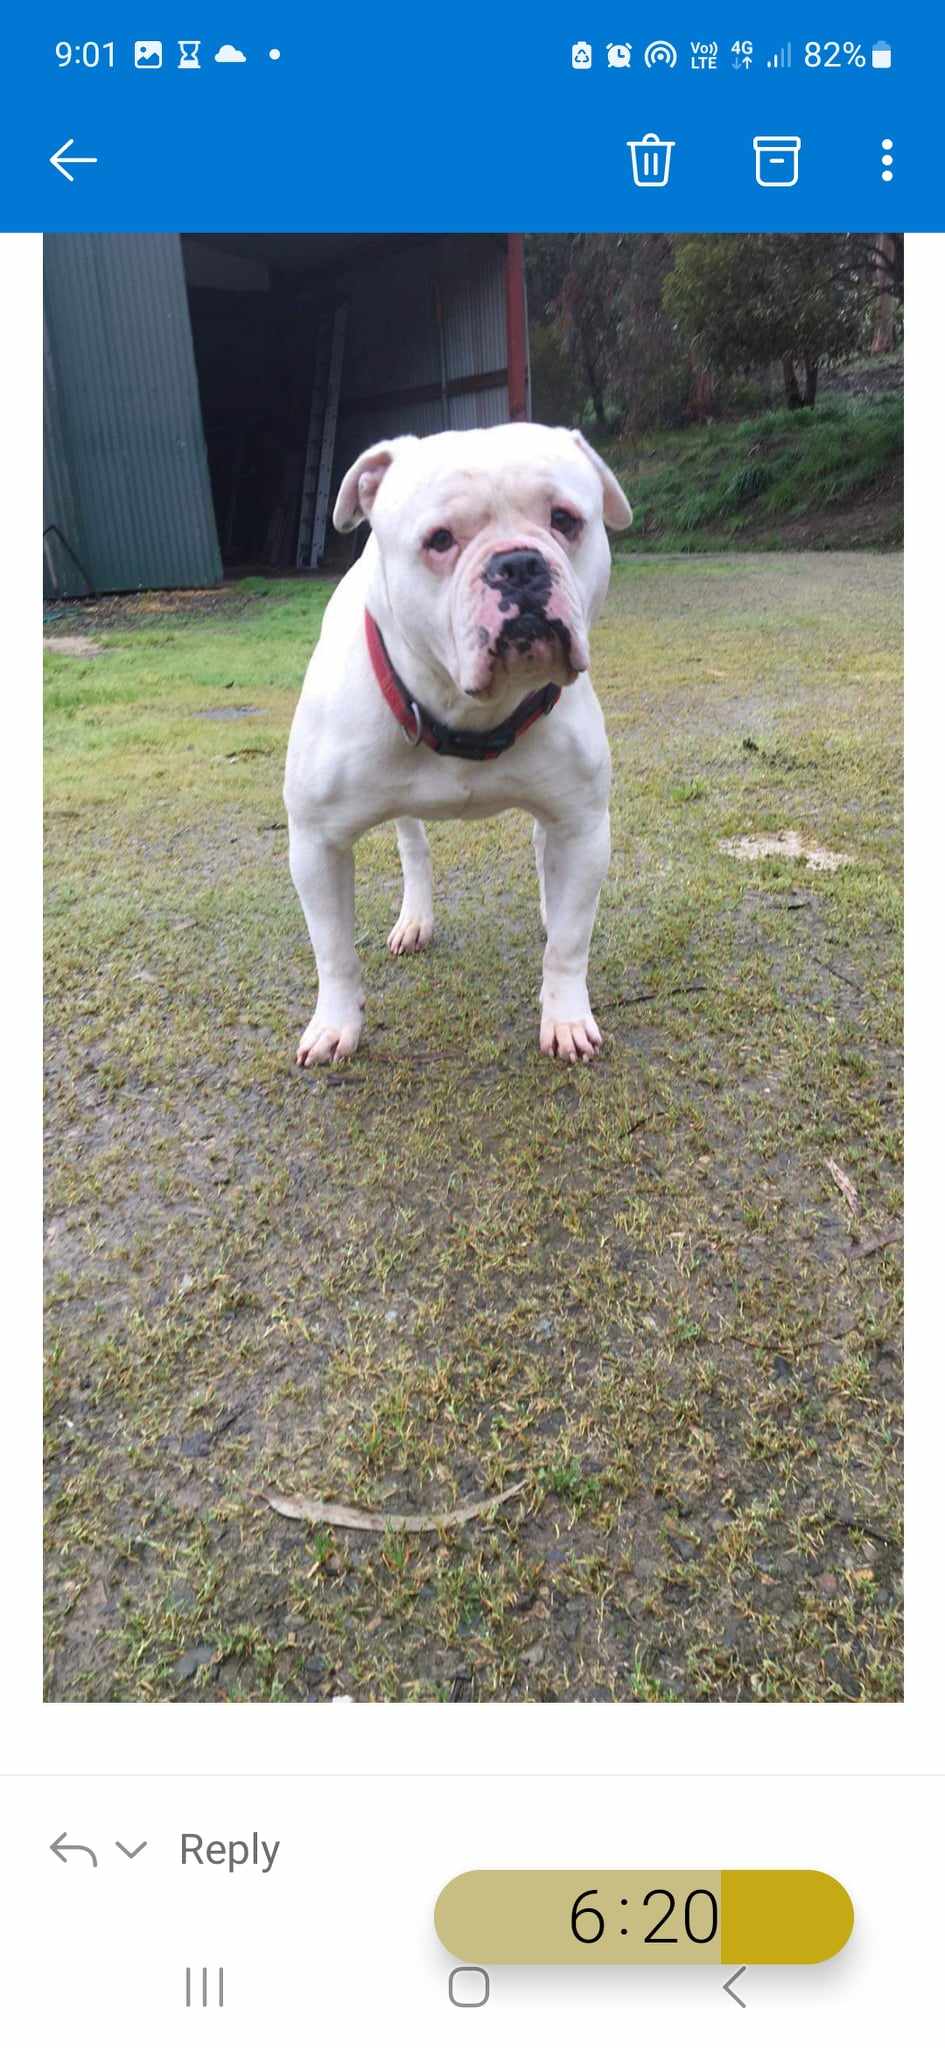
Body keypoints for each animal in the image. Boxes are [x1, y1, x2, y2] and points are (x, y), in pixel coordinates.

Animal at [284, 422, 632, 1066]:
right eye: (440, 539)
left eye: (565, 520)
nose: (518, 564)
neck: (468, 710)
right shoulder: (316, 844)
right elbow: (334, 950)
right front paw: (335, 1025)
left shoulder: (584, 825)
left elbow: (570, 943)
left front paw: (566, 1016)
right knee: (412, 843)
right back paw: (415, 918)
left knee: (544, 852)